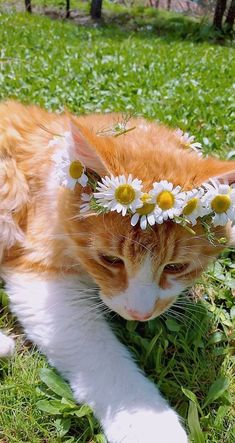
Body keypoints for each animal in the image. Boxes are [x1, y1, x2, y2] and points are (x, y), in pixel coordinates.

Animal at [0, 100, 235, 443]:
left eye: (176, 267)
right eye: (110, 260)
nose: (140, 314)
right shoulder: (40, 274)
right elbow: (104, 359)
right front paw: (150, 426)